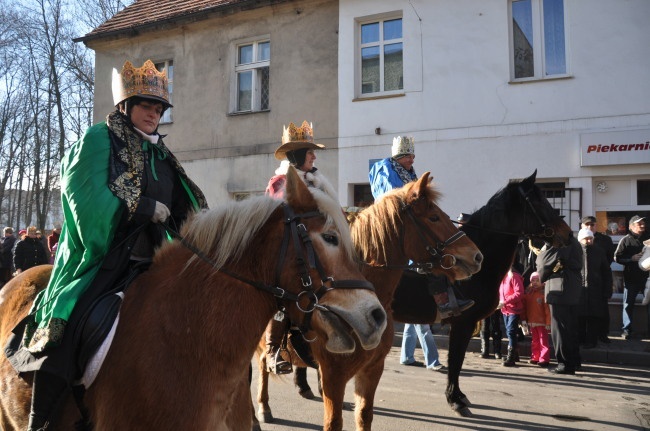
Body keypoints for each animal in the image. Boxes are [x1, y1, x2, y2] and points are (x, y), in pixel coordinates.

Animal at [256, 172, 484, 431]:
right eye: (434, 217)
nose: (476, 256)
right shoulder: (334, 374)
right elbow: (333, 422)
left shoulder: (372, 369)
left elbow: (364, 415)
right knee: (260, 367)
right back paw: (263, 408)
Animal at [388, 170, 568, 418]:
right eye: (539, 200)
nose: (567, 233)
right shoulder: (462, 323)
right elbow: (456, 360)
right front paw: (455, 400)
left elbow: (458, 360)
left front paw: (458, 395)